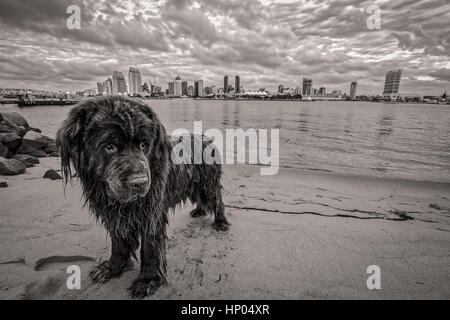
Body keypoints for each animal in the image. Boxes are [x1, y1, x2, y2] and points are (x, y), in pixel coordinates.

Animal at [56, 95, 229, 298]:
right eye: (109, 146)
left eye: (144, 144)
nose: (139, 182)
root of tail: (207, 138)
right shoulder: (112, 214)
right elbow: (118, 243)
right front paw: (112, 267)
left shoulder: (151, 213)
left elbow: (150, 248)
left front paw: (147, 280)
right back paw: (199, 211)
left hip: (207, 184)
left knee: (217, 201)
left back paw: (220, 222)